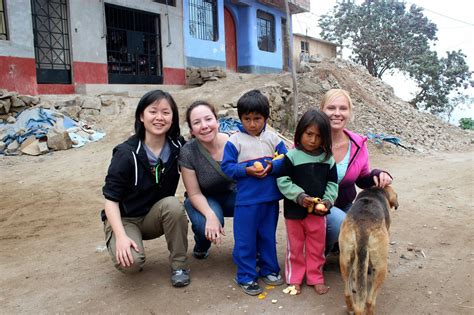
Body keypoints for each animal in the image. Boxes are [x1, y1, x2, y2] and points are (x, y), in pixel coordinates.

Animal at [338, 186, 398, 314]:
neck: (376, 190)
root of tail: (363, 226)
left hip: (345, 260)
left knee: (347, 293)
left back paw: (351, 308)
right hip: (381, 267)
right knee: (370, 300)